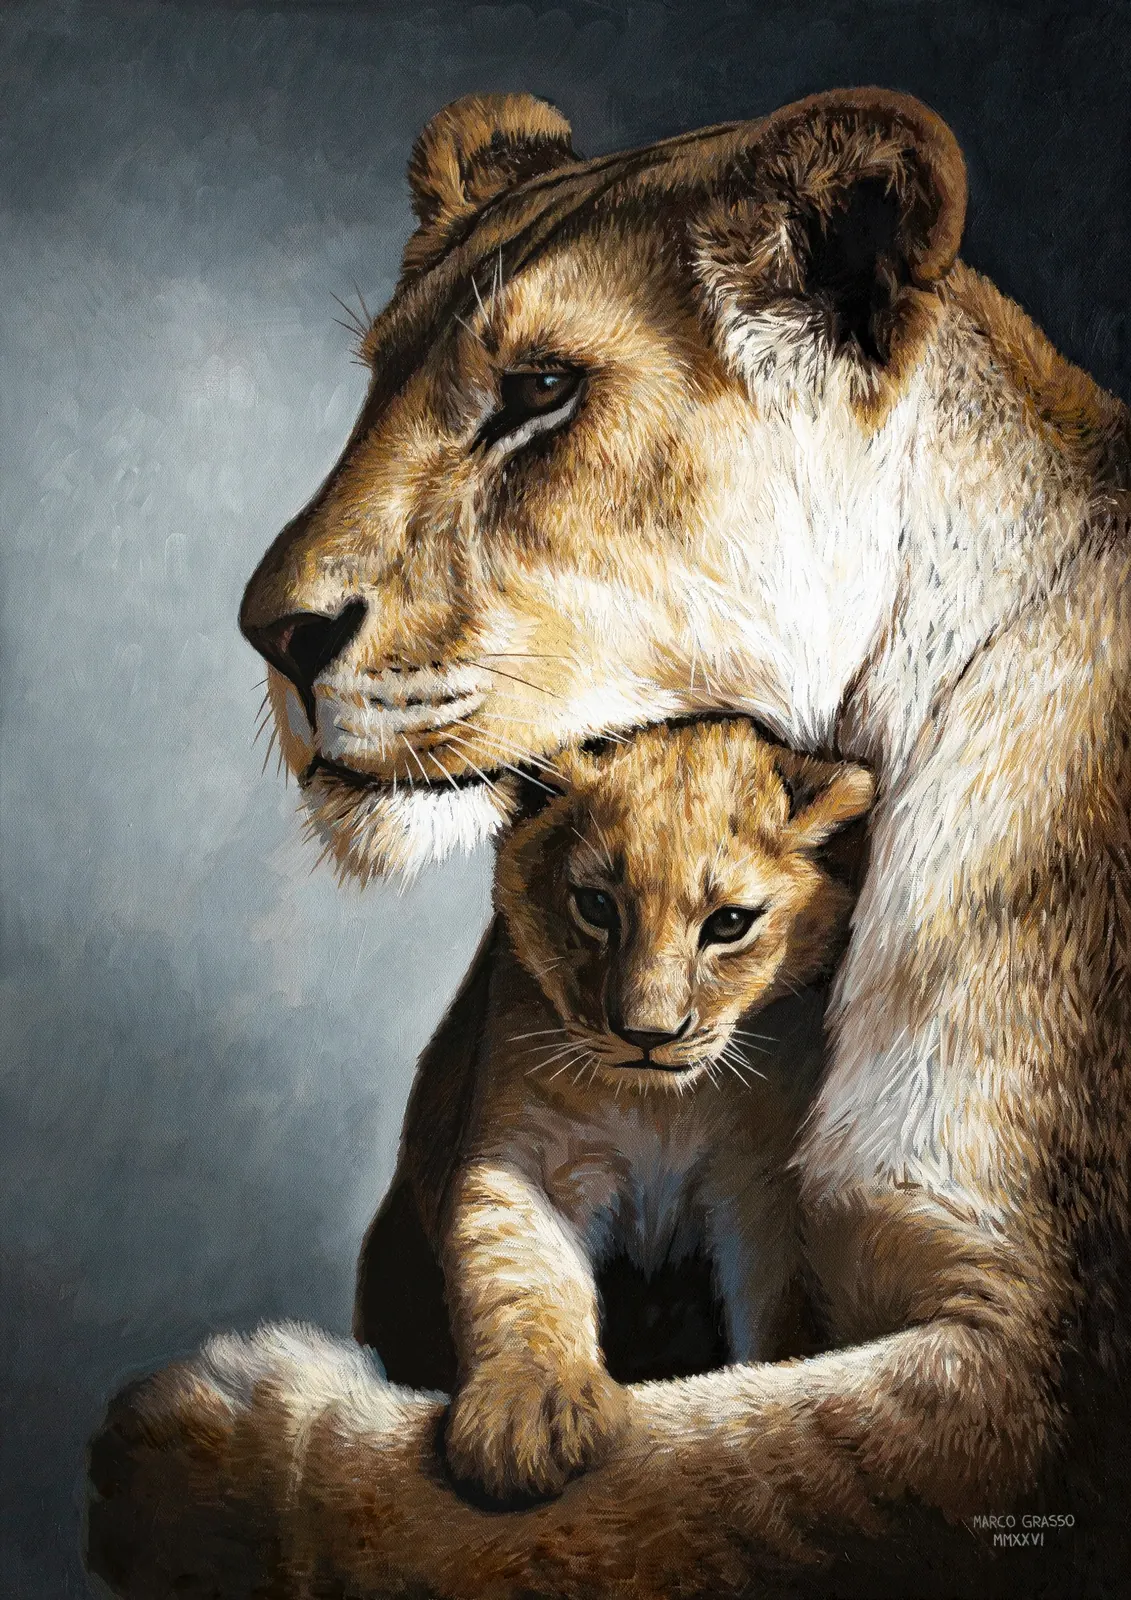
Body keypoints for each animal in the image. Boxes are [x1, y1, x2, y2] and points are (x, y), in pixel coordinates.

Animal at [86, 87, 1131, 1599]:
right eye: (373, 378)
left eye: (538, 391)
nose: (271, 634)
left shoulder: (1035, 1375)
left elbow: (680, 1490)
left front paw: (194, 1451)